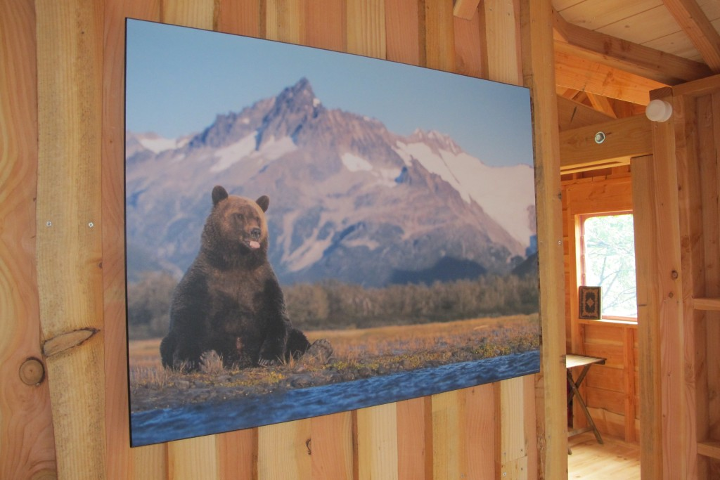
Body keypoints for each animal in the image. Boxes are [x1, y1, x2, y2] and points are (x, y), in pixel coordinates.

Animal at [160, 185, 326, 372]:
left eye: (257, 217)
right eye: (239, 215)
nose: (255, 231)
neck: (237, 261)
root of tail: (241, 361)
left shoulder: (262, 282)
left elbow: (277, 317)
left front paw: (268, 358)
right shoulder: (204, 278)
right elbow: (187, 314)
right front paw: (187, 360)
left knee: (297, 335)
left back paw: (321, 349)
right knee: (167, 342)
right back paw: (209, 359)